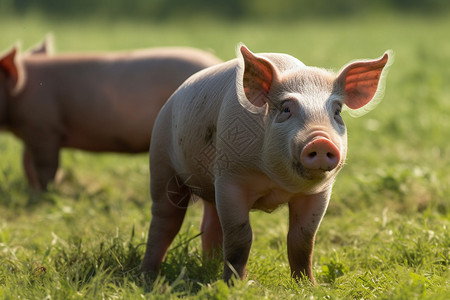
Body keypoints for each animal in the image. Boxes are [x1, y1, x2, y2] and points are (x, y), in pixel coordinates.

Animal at [0, 42, 221, 190]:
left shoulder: (44, 128)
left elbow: (44, 166)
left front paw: (45, 193)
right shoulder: (34, 132)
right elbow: (26, 162)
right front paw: (33, 190)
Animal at [142, 44, 392, 284]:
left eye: (337, 111)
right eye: (286, 109)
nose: (321, 141)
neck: (276, 181)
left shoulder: (319, 192)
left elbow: (303, 239)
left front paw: (308, 285)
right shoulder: (230, 180)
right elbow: (240, 238)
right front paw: (236, 286)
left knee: (210, 223)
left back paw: (208, 267)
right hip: (161, 162)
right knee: (164, 221)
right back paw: (149, 276)